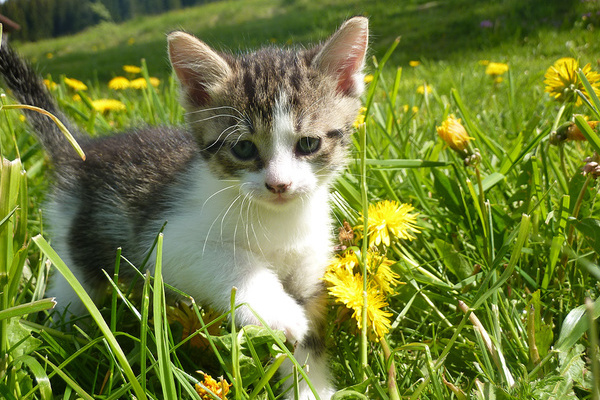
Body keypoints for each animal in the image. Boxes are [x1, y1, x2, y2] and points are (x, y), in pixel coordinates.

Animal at [0, 17, 368, 398]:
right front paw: (281, 313)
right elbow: (230, 264)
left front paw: (310, 385)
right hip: (79, 247)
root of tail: (82, 151)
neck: (279, 221)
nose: (279, 185)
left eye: (308, 143)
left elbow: (305, 343)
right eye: (243, 148)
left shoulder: (309, 269)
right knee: (70, 293)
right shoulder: (168, 237)